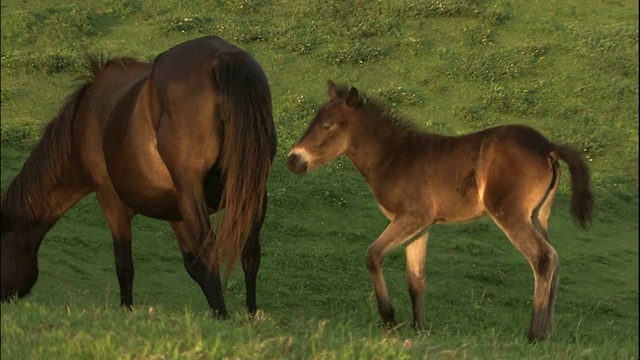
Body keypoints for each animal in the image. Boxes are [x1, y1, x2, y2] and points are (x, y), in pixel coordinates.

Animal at [1, 36, 278, 318]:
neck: (85, 120)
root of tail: (222, 57)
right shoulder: (176, 213)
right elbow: (193, 264)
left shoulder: (111, 201)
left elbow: (124, 265)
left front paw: (126, 312)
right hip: (252, 191)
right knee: (250, 252)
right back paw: (249, 316)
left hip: (193, 191)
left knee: (210, 250)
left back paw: (222, 317)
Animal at [288, 80, 592, 342]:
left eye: (327, 126)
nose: (293, 160)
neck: (395, 157)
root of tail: (547, 146)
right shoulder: (420, 226)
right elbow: (416, 279)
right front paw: (419, 330)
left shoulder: (412, 217)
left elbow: (373, 255)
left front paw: (390, 320)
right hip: (537, 216)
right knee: (555, 259)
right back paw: (549, 334)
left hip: (510, 213)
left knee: (543, 258)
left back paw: (535, 335)